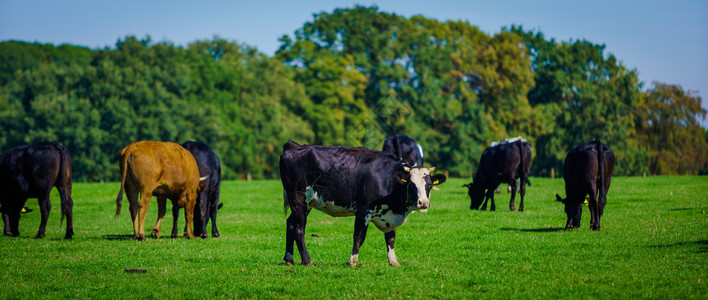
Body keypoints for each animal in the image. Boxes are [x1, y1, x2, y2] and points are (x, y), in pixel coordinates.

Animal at [280, 142, 446, 266]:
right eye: (411, 185)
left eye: (429, 185)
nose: (423, 203)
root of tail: (294, 146)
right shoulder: (363, 210)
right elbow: (359, 236)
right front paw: (352, 261)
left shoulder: (389, 214)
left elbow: (390, 238)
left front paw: (393, 261)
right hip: (298, 199)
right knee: (299, 229)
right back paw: (307, 261)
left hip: (305, 204)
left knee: (290, 224)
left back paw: (289, 259)